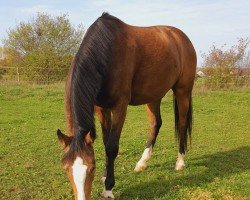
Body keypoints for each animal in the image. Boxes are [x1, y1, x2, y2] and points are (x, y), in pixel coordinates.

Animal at [57, 12, 197, 200]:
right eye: (66, 168)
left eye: (91, 168)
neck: (107, 52)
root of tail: (181, 37)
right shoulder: (101, 108)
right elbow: (105, 141)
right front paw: (105, 176)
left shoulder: (120, 106)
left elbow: (112, 147)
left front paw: (108, 188)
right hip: (153, 95)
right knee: (156, 123)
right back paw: (142, 163)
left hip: (183, 91)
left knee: (181, 124)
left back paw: (180, 162)